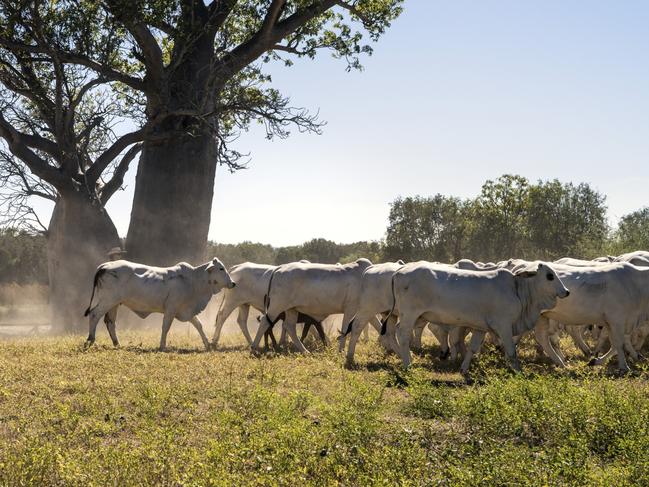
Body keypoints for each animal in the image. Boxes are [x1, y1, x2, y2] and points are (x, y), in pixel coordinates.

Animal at [82, 258, 232, 352]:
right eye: (221, 268)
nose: (233, 283)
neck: (193, 280)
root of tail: (104, 266)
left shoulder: (186, 310)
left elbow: (199, 325)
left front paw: (208, 344)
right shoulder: (171, 309)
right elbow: (165, 327)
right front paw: (162, 346)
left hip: (114, 304)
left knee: (110, 322)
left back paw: (117, 344)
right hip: (108, 301)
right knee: (94, 314)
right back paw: (90, 340)